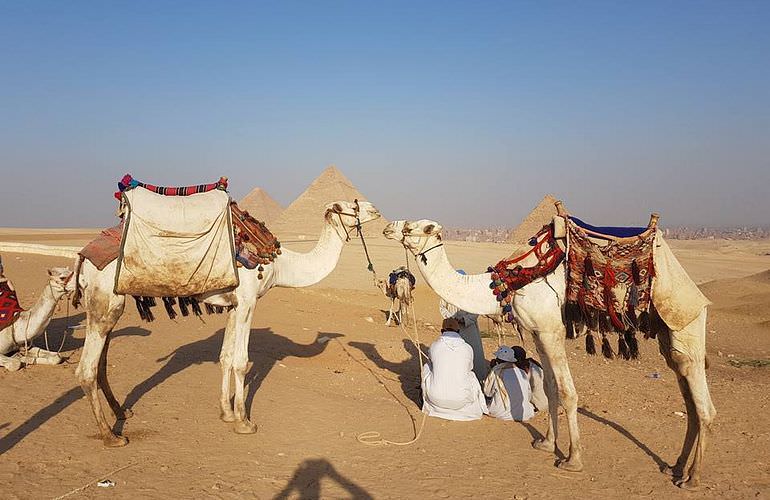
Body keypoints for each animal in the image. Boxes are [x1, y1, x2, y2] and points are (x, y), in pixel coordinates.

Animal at [0, 201, 378, 448]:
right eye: (353, 206)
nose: (378, 212)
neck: (281, 263)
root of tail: (82, 257)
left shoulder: (233, 305)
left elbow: (225, 357)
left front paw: (226, 413)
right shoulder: (249, 299)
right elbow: (241, 362)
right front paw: (244, 422)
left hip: (107, 305)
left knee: (102, 362)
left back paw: (123, 412)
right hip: (107, 300)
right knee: (86, 369)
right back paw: (111, 435)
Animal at [384, 218, 712, 488]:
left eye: (422, 227)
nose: (389, 226)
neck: (509, 282)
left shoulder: (552, 331)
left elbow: (568, 393)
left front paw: (572, 459)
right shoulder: (537, 333)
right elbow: (551, 388)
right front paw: (546, 443)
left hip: (686, 323)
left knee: (703, 404)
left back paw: (693, 478)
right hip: (667, 336)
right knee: (689, 397)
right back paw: (677, 467)